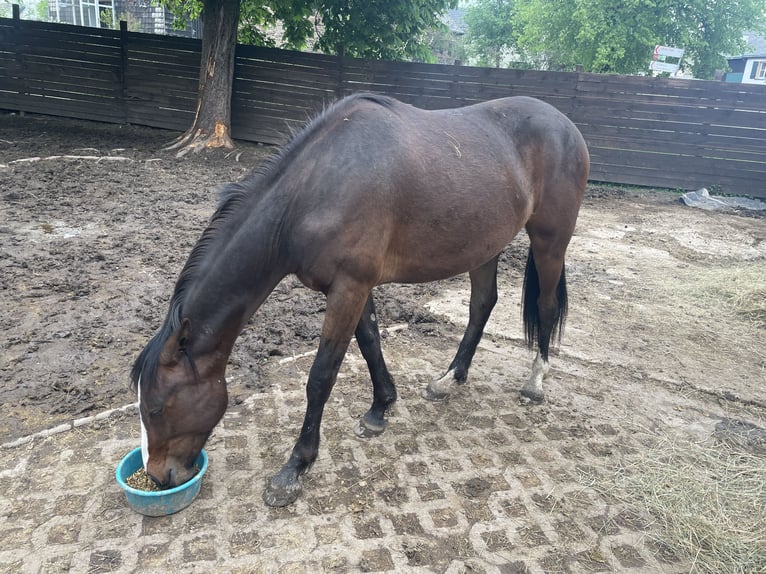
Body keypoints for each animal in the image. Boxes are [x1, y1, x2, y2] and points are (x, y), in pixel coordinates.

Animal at [130, 91, 588, 508]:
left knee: (545, 305)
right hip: (484, 245)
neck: (315, 188)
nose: (159, 476)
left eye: (156, 408)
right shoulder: (354, 287)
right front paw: (380, 409)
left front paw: (295, 466)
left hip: (550, 241)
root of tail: (566, 126)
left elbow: (321, 376)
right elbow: (370, 344)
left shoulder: (349, 287)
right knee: (482, 305)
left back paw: (535, 381)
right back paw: (449, 378)